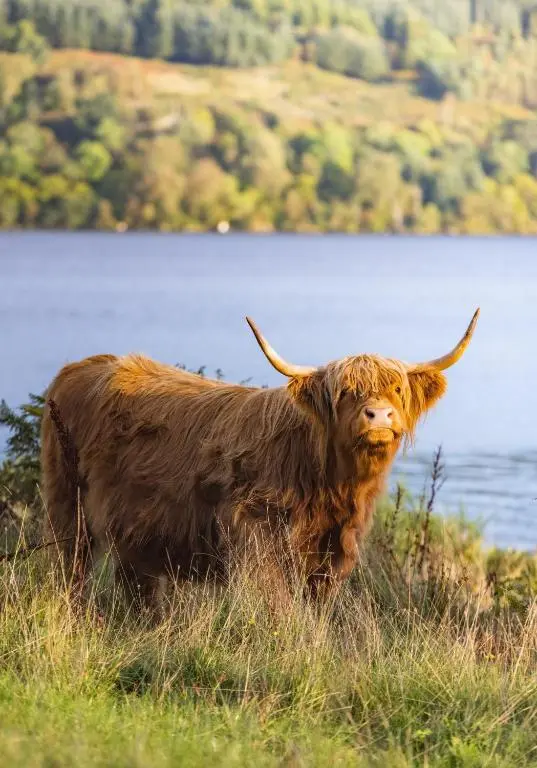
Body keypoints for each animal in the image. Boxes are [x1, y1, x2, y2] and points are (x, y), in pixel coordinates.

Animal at [40, 310, 479, 612]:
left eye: (397, 390)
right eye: (345, 393)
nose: (379, 416)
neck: (331, 486)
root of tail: (79, 367)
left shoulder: (331, 555)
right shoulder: (258, 541)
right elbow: (280, 610)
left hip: (137, 533)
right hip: (67, 507)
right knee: (70, 569)